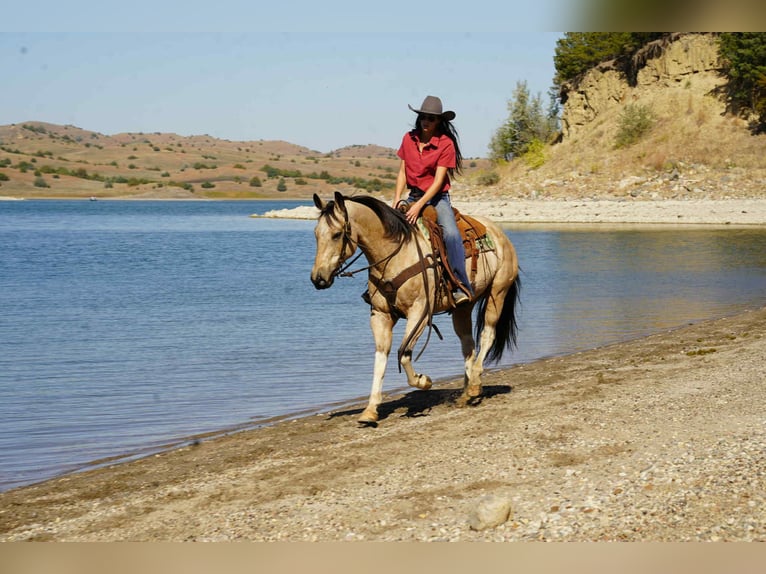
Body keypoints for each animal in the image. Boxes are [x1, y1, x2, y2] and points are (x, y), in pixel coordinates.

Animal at [311, 191, 520, 425]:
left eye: (337, 234)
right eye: (316, 234)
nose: (318, 278)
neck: (394, 255)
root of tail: (500, 234)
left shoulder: (419, 312)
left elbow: (403, 353)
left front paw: (424, 381)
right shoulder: (380, 316)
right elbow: (380, 357)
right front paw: (370, 410)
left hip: (497, 292)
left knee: (487, 335)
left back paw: (475, 384)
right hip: (463, 307)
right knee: (468, 344)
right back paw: (468, 391)